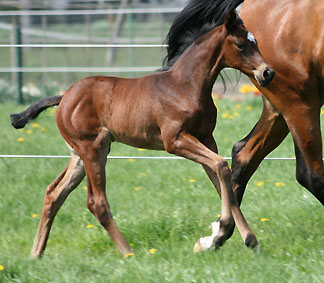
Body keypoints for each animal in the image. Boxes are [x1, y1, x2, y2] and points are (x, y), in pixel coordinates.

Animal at [9, 8, 274, 258]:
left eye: (255, 41)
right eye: (240, 44)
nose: (267, 72)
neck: (184, 86)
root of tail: (64, 97)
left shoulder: (206, 138)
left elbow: (222, 179)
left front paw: (247, 240)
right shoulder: (175, 141)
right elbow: (221, 166)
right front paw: (222, 232)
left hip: (80, 156)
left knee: (54, 193)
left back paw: (36, 253)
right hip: (93, 149)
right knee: (96, 202)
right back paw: (128, 253)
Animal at [165, 0, 324, 252]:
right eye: (240, 44)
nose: (267, 72)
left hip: (280, 105)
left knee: (243, 153)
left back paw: (218, 235)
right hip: (298, 99)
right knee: (309, 173)